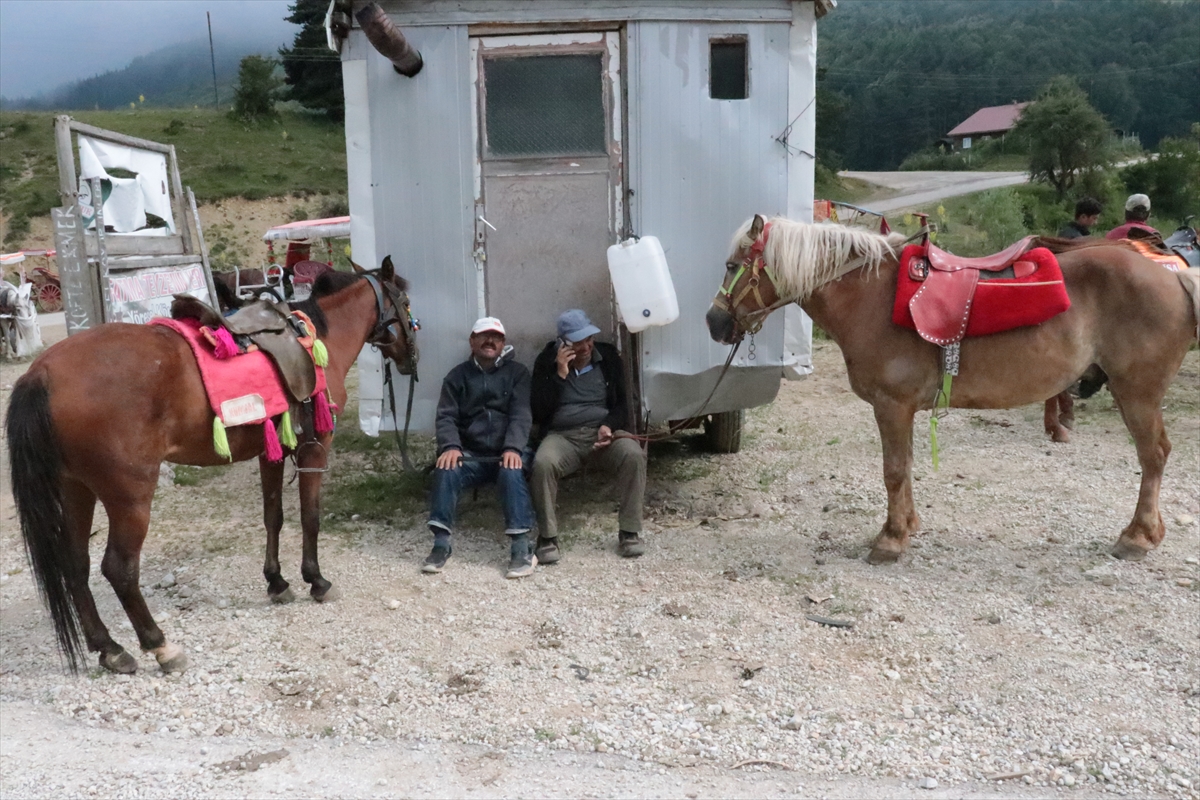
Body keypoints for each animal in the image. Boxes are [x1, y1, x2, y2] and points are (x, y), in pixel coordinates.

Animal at [5, 260, 417, 671]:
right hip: (130, 497)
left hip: (75, 489)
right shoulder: (315, 448)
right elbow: (310, 516)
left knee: (76, 565)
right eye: (407, 301)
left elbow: (273, 517)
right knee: (119, 569)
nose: (411, 357)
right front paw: (315, 580)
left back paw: (109, 647)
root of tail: (42, 372)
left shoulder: (272, 450)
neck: (316, 340)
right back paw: (159, 644)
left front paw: (276, 581)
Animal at [705, 212, 1195, 563]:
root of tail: (1173, 275)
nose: (714, 322)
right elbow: (905, 467)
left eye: (731, 266)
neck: (871, 297)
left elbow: (893, 470)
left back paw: (1137, 536)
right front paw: (907, 525)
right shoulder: (902, 410)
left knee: (1153, 456)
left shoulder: (891, 406)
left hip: (1137, 393)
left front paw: (890, 540)